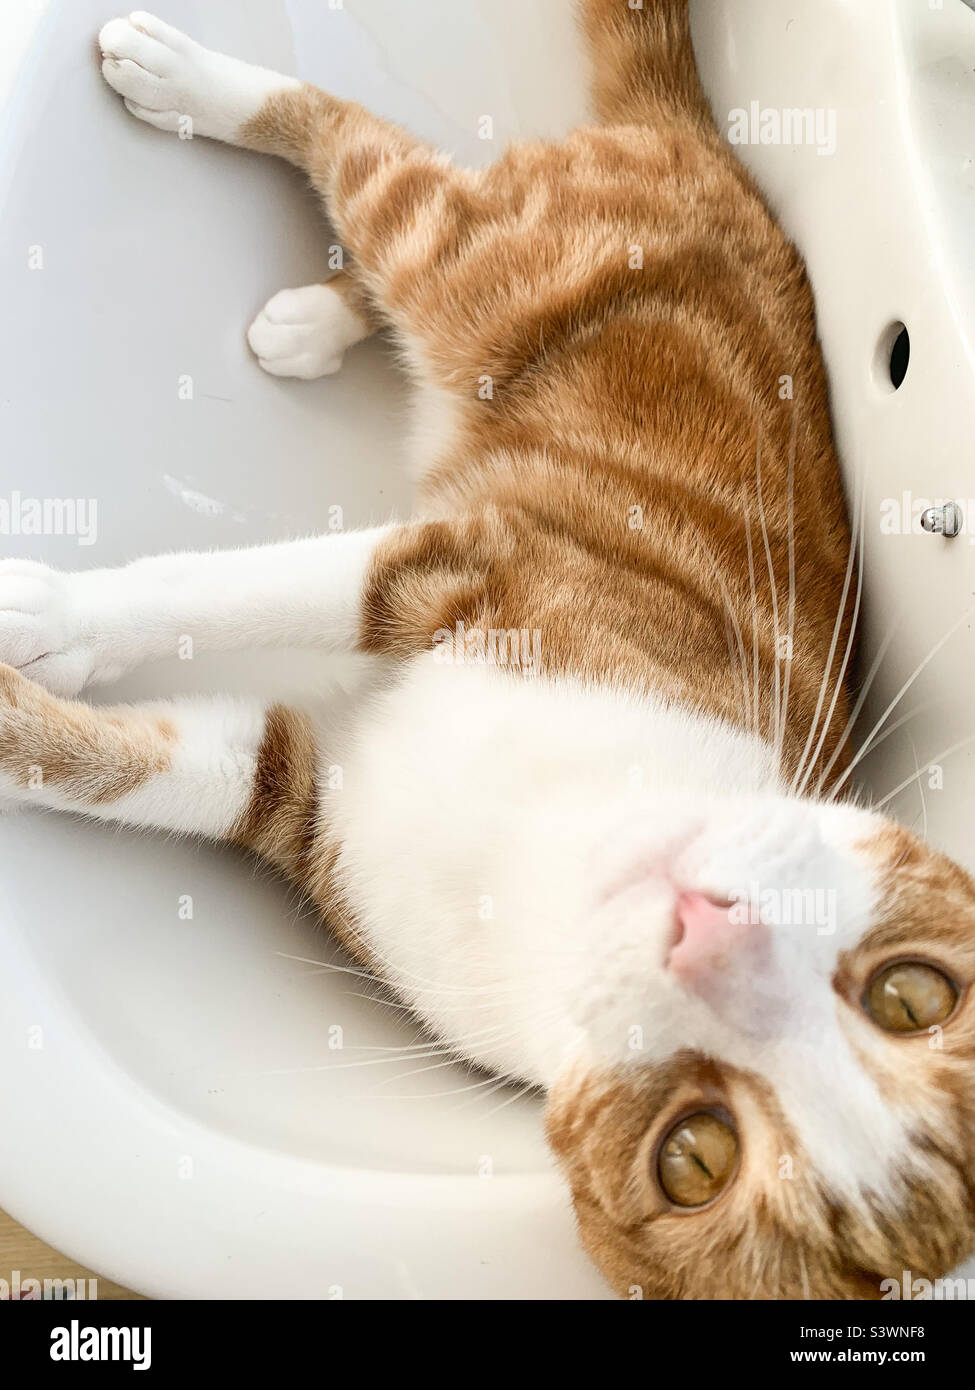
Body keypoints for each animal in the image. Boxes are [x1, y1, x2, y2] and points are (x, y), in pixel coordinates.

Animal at [1, 5, 973, 1295]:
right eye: (911, 992)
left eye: (695, 1157)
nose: (714, 931)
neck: (556, 853)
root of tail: (712, 155)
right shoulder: (472, 566)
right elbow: (211, 592)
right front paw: (56, 618)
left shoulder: (299, 796)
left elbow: (134, 761)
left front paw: (30, 690)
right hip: (473, 263)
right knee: (366, 154)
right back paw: (199, 94)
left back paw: (308, 312)